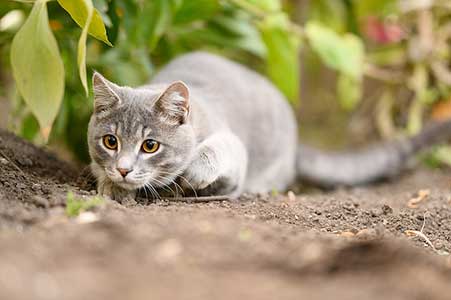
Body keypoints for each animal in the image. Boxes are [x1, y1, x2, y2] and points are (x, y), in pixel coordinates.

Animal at [87, 51, 451, 202]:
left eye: (150, 146)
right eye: (110, 141)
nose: (123, 169)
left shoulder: (230, 142)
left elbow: (216, 152)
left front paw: (192, 175)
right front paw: (111, 185)